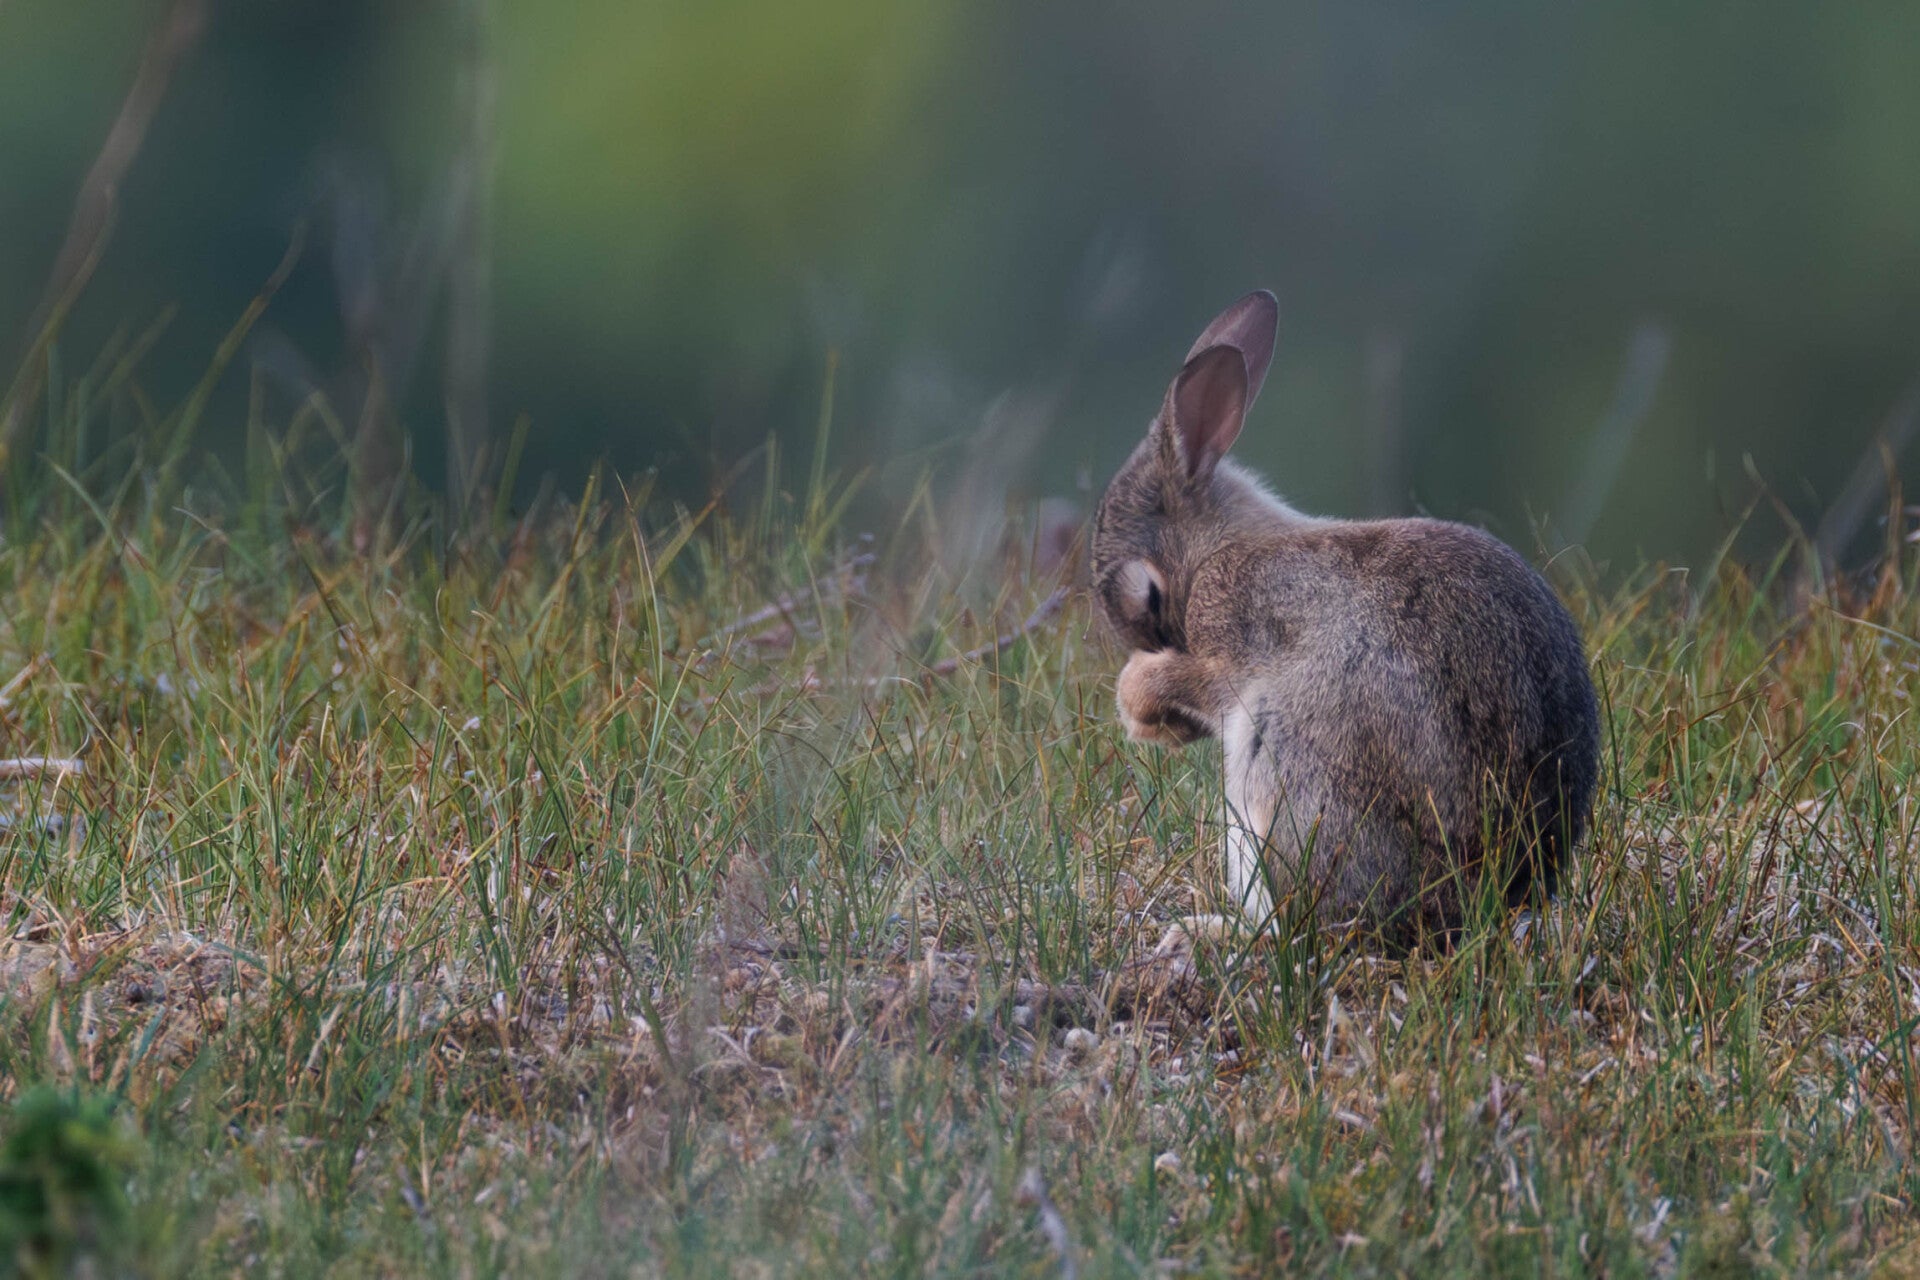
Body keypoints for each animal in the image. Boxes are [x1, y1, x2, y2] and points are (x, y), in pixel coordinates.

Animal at [1092, 290, 1600, 948]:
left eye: (1143, 595)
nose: (1156, 730)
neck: (1213, 551)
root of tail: (1477, 896)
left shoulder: (1226, 633)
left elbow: (1194, 678)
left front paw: (1137, 701)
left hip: (1279, 768)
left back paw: (1206, 931)